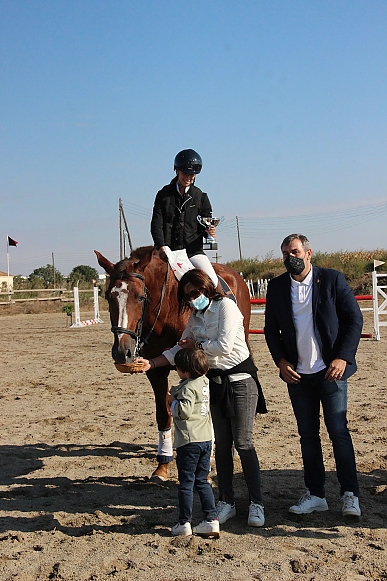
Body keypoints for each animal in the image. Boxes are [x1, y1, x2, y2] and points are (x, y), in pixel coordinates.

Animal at [95, 245, 250, 480]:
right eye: (107, 296)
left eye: (140, 297)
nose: (123, 353)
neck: (166, 311)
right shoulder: (156, 372)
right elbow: (163, 415)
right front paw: (162, 465)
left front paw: (208, 460)